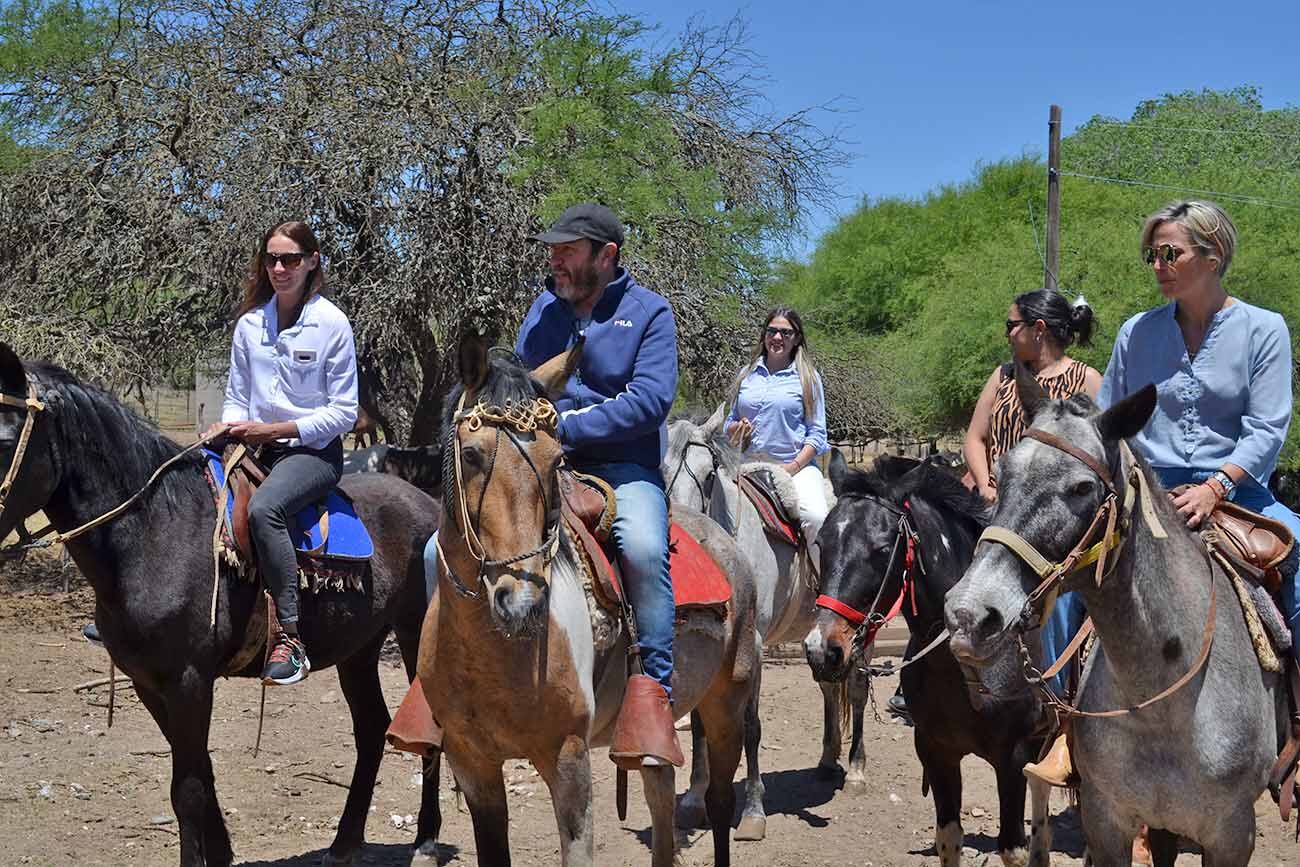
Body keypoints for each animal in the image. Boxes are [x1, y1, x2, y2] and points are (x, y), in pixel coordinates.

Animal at [0, 343, 441, 867]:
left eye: (5, 440)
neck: (154, 532)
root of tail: (429, 504)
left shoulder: (190, 680)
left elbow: (187, 790)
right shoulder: (149, 683)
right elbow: (200, 776)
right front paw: (222, 852)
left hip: (414, 634)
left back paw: (427, 838)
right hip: (358, 650)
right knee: (372, 729)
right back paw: (344, 843)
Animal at [413, 335, 759, 863]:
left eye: (557, 460)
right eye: (470, 454)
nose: (522, 602)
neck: (491, 656)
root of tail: (727, 544)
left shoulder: (568, 759)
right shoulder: (473, 763)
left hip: (727, 704)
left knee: (719, 804)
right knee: (661, 796)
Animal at [800, 452, 1055, 867]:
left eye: (882, 549)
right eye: (822, 542)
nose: (824, 648)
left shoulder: (1014, 758)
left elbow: (1013, 848)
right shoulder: (936, 752)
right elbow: (948, 839)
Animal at [946, 374, 1289, 867]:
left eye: (1081, 489)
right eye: (1003, 474)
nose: (968, 614)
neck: (1161, 705)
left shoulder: (1231, 835)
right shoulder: (1107, 820)